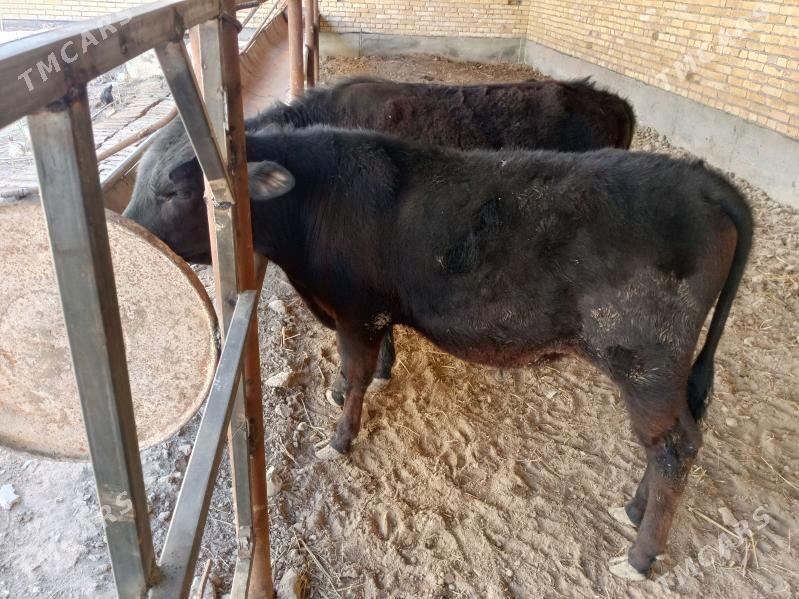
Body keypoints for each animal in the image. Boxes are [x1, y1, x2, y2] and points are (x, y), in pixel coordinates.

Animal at [125, 125, 752, 580]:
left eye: (174, 190)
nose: (130, 230)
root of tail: (703, 180)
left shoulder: (357, 310)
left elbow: (356, 371)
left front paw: (340, 437)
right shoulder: (370, 312)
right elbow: (367, 362)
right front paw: (356, 386)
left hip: (643, 361)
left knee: (672, 447)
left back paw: (640, 556)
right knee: (678, 439)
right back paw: (635, 510)